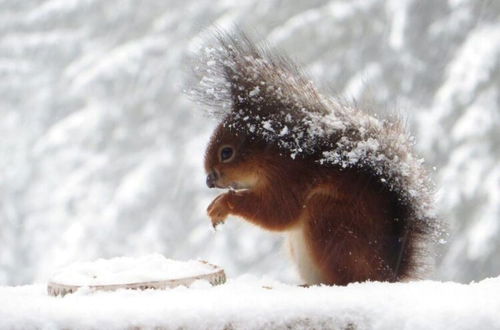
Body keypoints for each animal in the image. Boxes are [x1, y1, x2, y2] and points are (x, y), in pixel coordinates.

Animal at [190, 31, 438, 284]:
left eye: (226, 152)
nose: (209, 180)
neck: (272, 157)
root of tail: (386, 275)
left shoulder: (291, 178)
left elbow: (278, 212)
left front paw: (222, 204)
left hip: (330, 220)